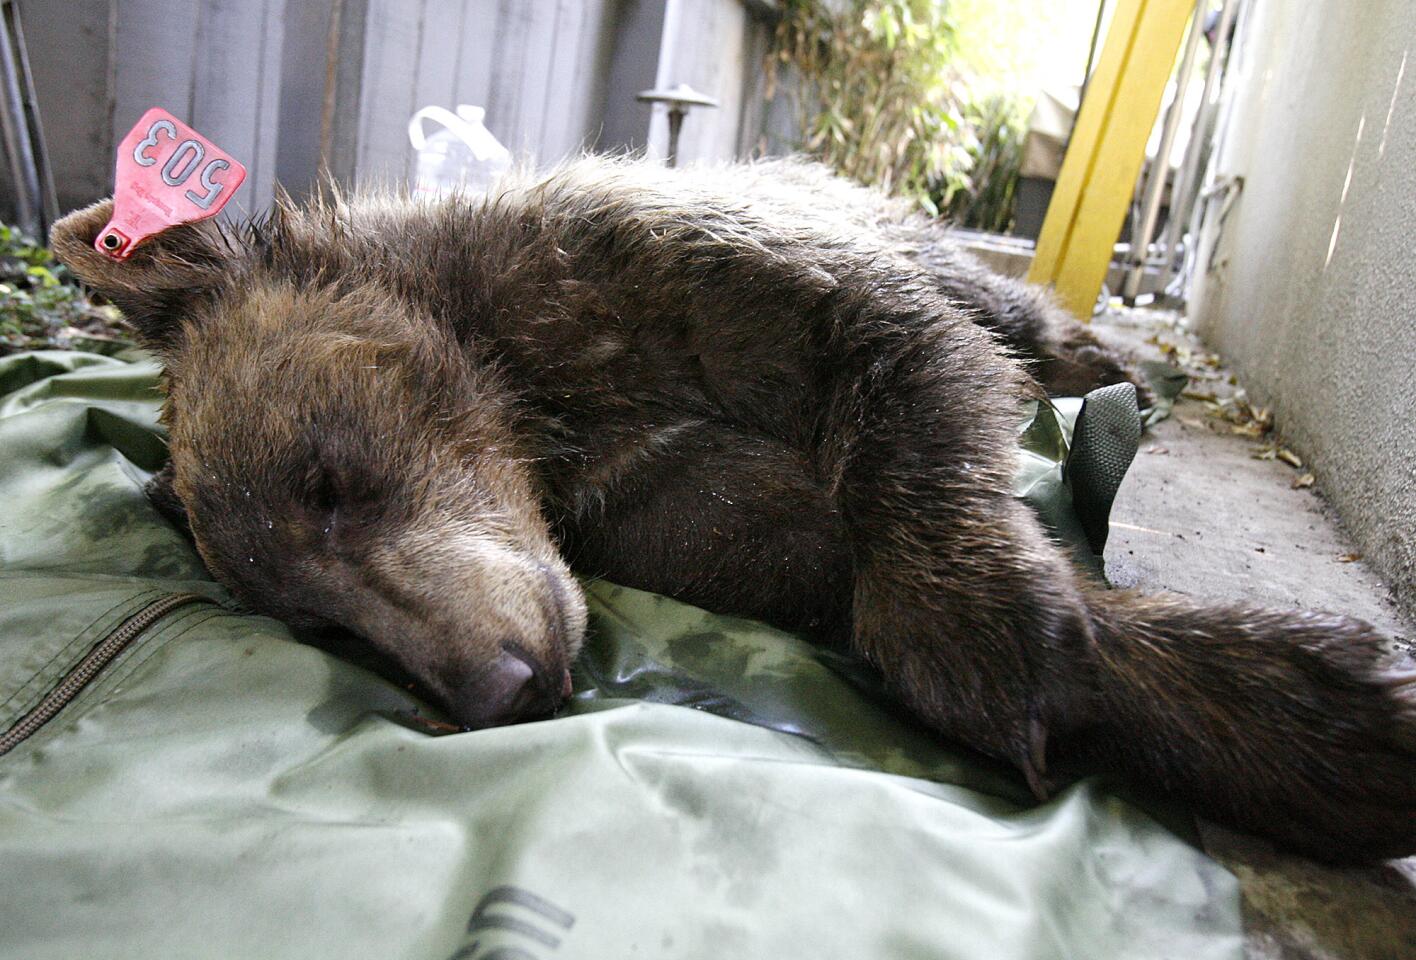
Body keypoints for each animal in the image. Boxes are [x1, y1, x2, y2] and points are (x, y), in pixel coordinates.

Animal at [49, 155, 1410, 866]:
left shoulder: (695, 283)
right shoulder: (662, 502)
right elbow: (820, 558)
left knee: (1010, 320)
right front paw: (1310, 725)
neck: (540, 402)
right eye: (314, 622)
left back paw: (1106, 360)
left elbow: (907, 378)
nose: (496, 683)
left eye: (327, 481)